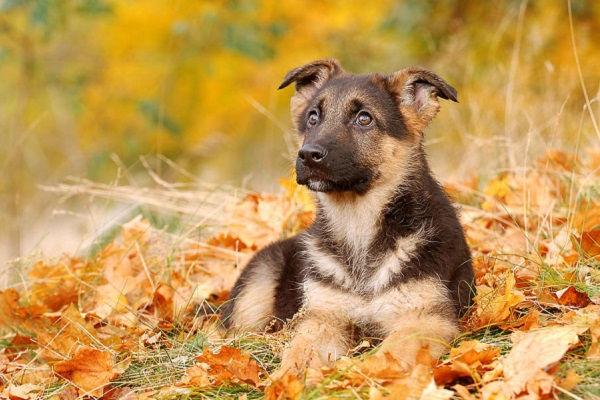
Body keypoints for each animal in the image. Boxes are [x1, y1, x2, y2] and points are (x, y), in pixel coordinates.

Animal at [220, 58, 474, 376]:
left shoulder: (426, 318)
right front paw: (287, 379)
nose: (307, 155)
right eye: (313, 118)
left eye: (364, 119)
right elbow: (299, 350)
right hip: (257, 286)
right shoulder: (323, 317)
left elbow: (388, 354)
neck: (357, 224)